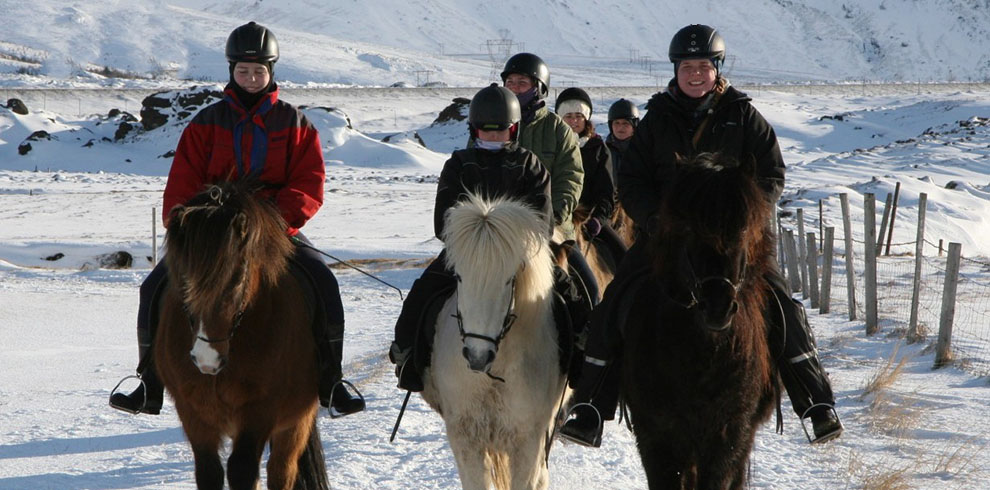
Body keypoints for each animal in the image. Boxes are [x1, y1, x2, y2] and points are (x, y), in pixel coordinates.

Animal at [151, 181, 330, 490]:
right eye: (182, 279)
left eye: (236, 279)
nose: (206, 359)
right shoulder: (192, 411)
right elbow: (209, 472)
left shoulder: (259, 409)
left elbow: (243, 470)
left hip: (295, 423)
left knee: (281, 470)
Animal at [620, 154, 784, 490]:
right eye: (689, 229)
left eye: (744, 229)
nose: (717, 307)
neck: (702, 356)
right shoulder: (656, 435)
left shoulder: (729, 434)